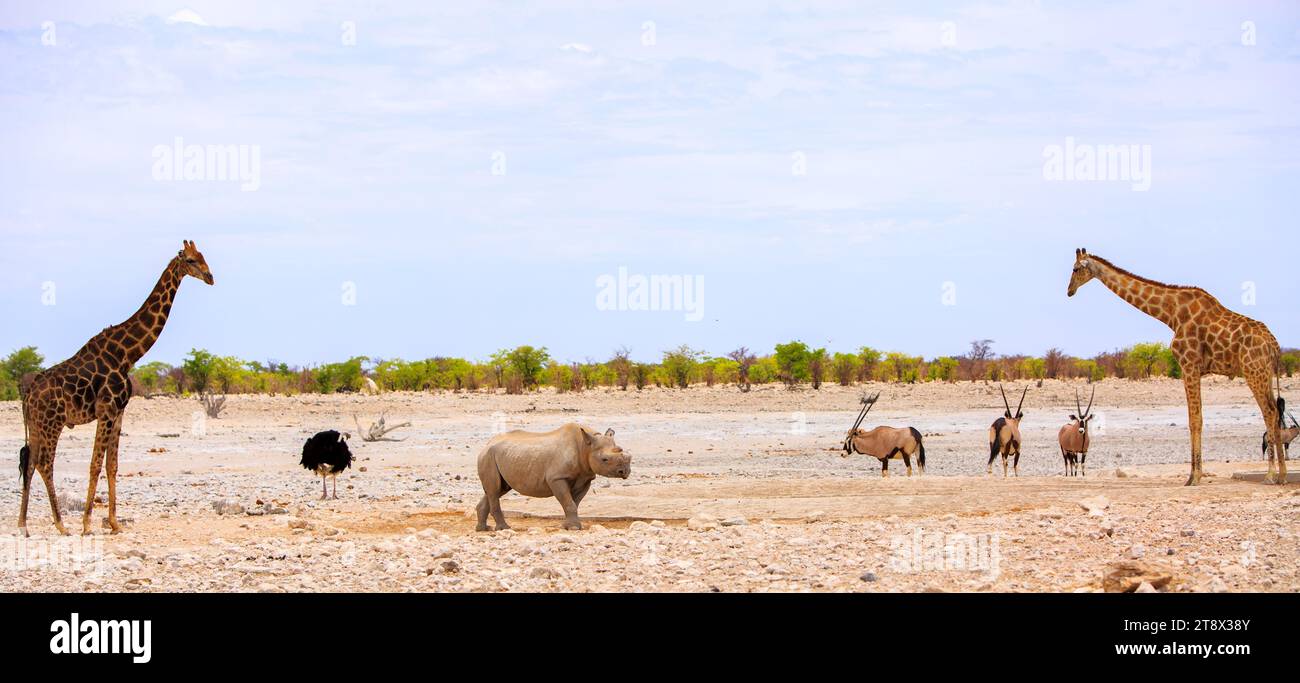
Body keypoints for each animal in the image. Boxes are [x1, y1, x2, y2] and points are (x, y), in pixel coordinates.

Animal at [17, 239, 213, 533]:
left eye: (203, 256)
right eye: (190, 260)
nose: (211, 277)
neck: (127, 355)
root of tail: (27, 396)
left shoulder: (120, 412)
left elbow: (112, 465)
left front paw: (114, 523)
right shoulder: (107, 410)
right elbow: (95, 464)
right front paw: (87, 524)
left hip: (37, 425)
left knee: (29, 463)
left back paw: (23, 525)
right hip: (54, 422)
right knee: (44, 464)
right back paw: (61, 525)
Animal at [1066, 248, 1289, 483]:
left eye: (1075, 269)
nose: (1069, 290)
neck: (1171, 314)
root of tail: (1275, 345)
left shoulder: (1189, 365)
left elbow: (1195, 420)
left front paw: (1195, 477)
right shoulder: (1190, 368)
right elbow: (1194, 418)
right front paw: (1192, 475)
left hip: (1253, 372)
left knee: (1269, 412)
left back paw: (1270, 475)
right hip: (1265, 374)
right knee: (1276, 410)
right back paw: (1282, 475)